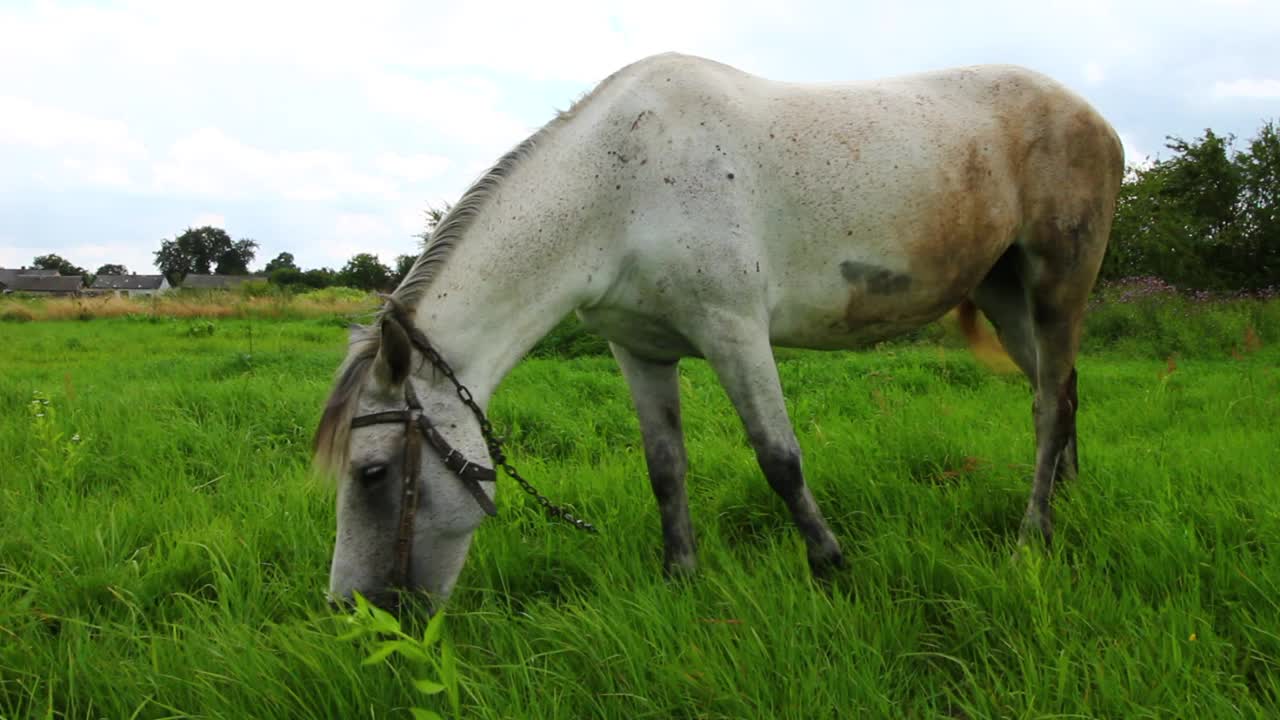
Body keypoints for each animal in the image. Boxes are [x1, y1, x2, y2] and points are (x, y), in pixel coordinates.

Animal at [314, 51, 1126, 604]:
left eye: (372, 473)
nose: (355, 613)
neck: (618, 186)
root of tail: (1096, 119)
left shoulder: (734, 332)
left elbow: (780, 460)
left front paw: (832, 567)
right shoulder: (638, 351)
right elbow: (665, 469)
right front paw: (681, 577)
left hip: (1057, 284)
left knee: (1049, 404)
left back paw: (1033, 535)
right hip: (1007, 294)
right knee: (1059, 395)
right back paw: (1068, 502)